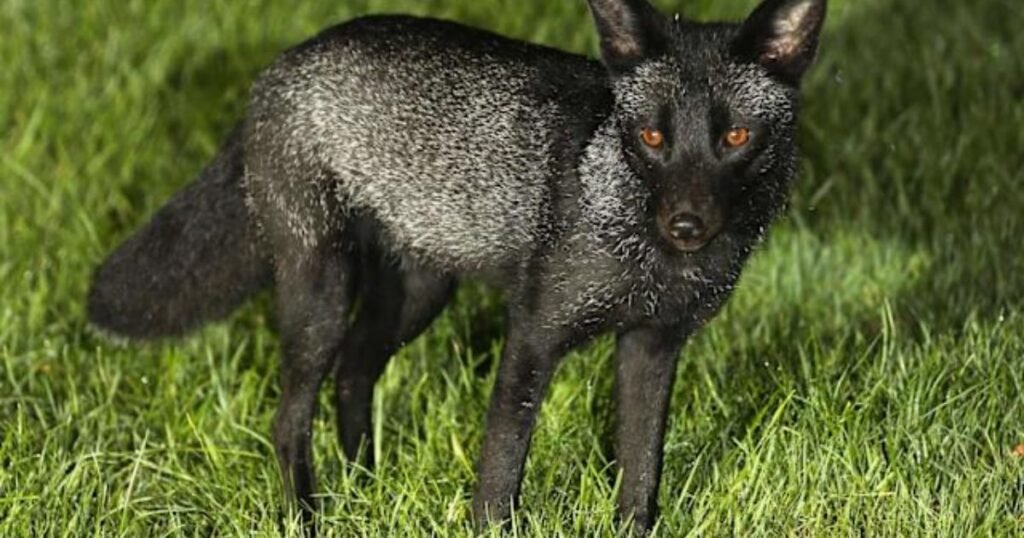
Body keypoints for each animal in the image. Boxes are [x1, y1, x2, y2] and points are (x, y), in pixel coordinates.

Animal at [87, 0, 827, 533]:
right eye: (651, 137)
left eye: (735, 137)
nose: (686, 227)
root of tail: (280, 69)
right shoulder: (533, 333)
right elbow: (500, 471)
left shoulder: (654, 343)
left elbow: (641, 474)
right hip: (322, 289)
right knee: (289, 417)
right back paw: (309, 516)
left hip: (418, 293)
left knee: (354, 374)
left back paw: (367, 488)